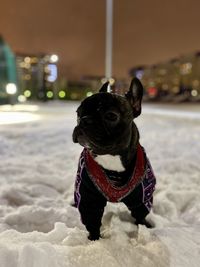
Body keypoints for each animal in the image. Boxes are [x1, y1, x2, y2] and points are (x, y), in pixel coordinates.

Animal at [72, 77, 156, 241]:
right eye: (78, 113)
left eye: (111, 116)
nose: (84, 120)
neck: (111, 156)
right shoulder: (88, 196)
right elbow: (92, 219)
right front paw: (94, 240)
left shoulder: (142, 196)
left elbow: (140, 215)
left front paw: (144, 229)